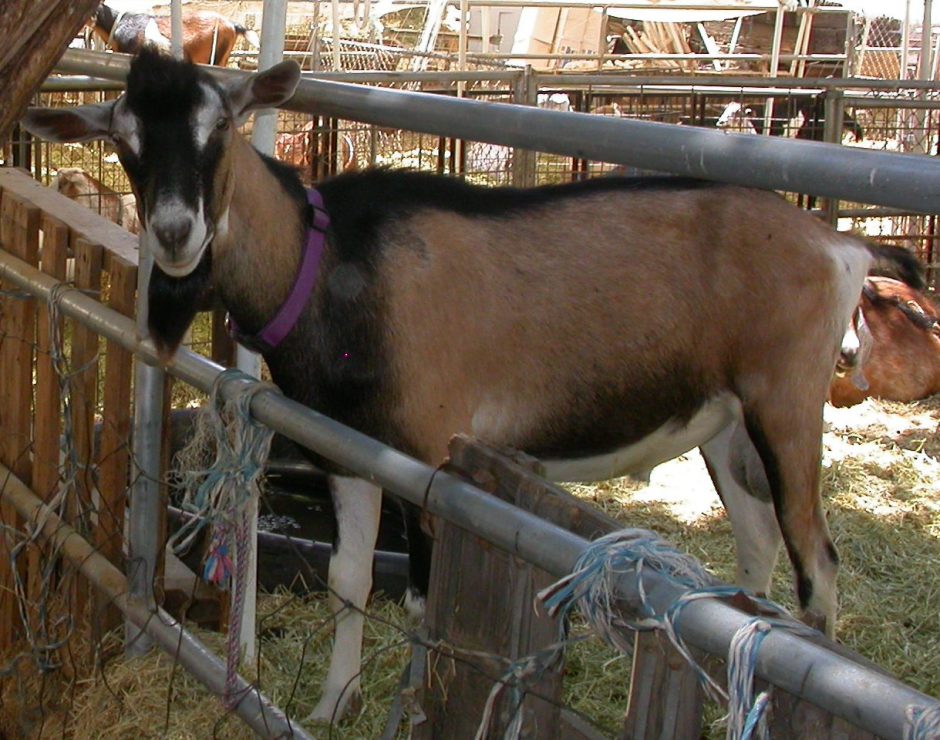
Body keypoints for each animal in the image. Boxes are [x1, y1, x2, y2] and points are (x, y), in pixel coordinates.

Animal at [23, 49, 923, 723]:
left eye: (220, 129)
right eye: (126, 140)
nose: (177, 234)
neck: (330, 261)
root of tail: (840, 246)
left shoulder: (429, 457)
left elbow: (428, 605)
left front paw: (409, 706)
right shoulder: (350, 453)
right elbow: (349, 582)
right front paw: (333, 704)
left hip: (786, 397)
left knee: (817, 561)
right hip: (728, 421)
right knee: (759, 538)